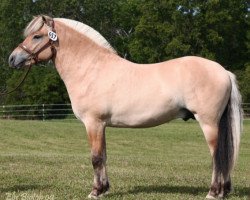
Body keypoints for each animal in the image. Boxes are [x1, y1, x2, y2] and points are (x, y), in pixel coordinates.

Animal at [9, 15, 242, 198]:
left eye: (37, 36)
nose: (12, 59)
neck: (91, 69)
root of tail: (223, 71)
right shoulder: (101, 125)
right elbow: (103, 156)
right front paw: (104, 189)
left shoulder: (93, 123)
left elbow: (95, 158)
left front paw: (95, 191)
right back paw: (224, 191)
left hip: (208, 123)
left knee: (217, 156)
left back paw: (213, 192)